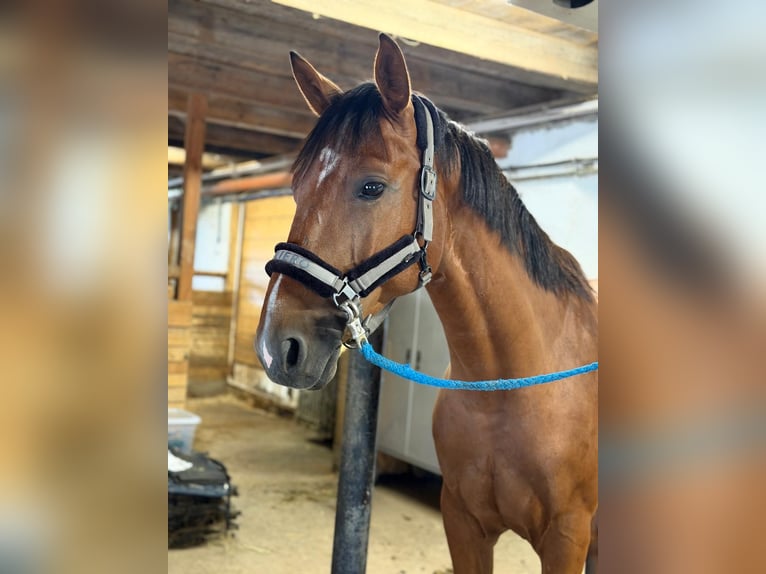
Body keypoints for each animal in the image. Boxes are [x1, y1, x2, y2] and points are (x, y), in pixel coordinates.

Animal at [255, 34, 598, 574]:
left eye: (372, 186)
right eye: (295, 187)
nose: (277, 346)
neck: (510, 388)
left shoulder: (567, 537)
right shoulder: (463, 523)